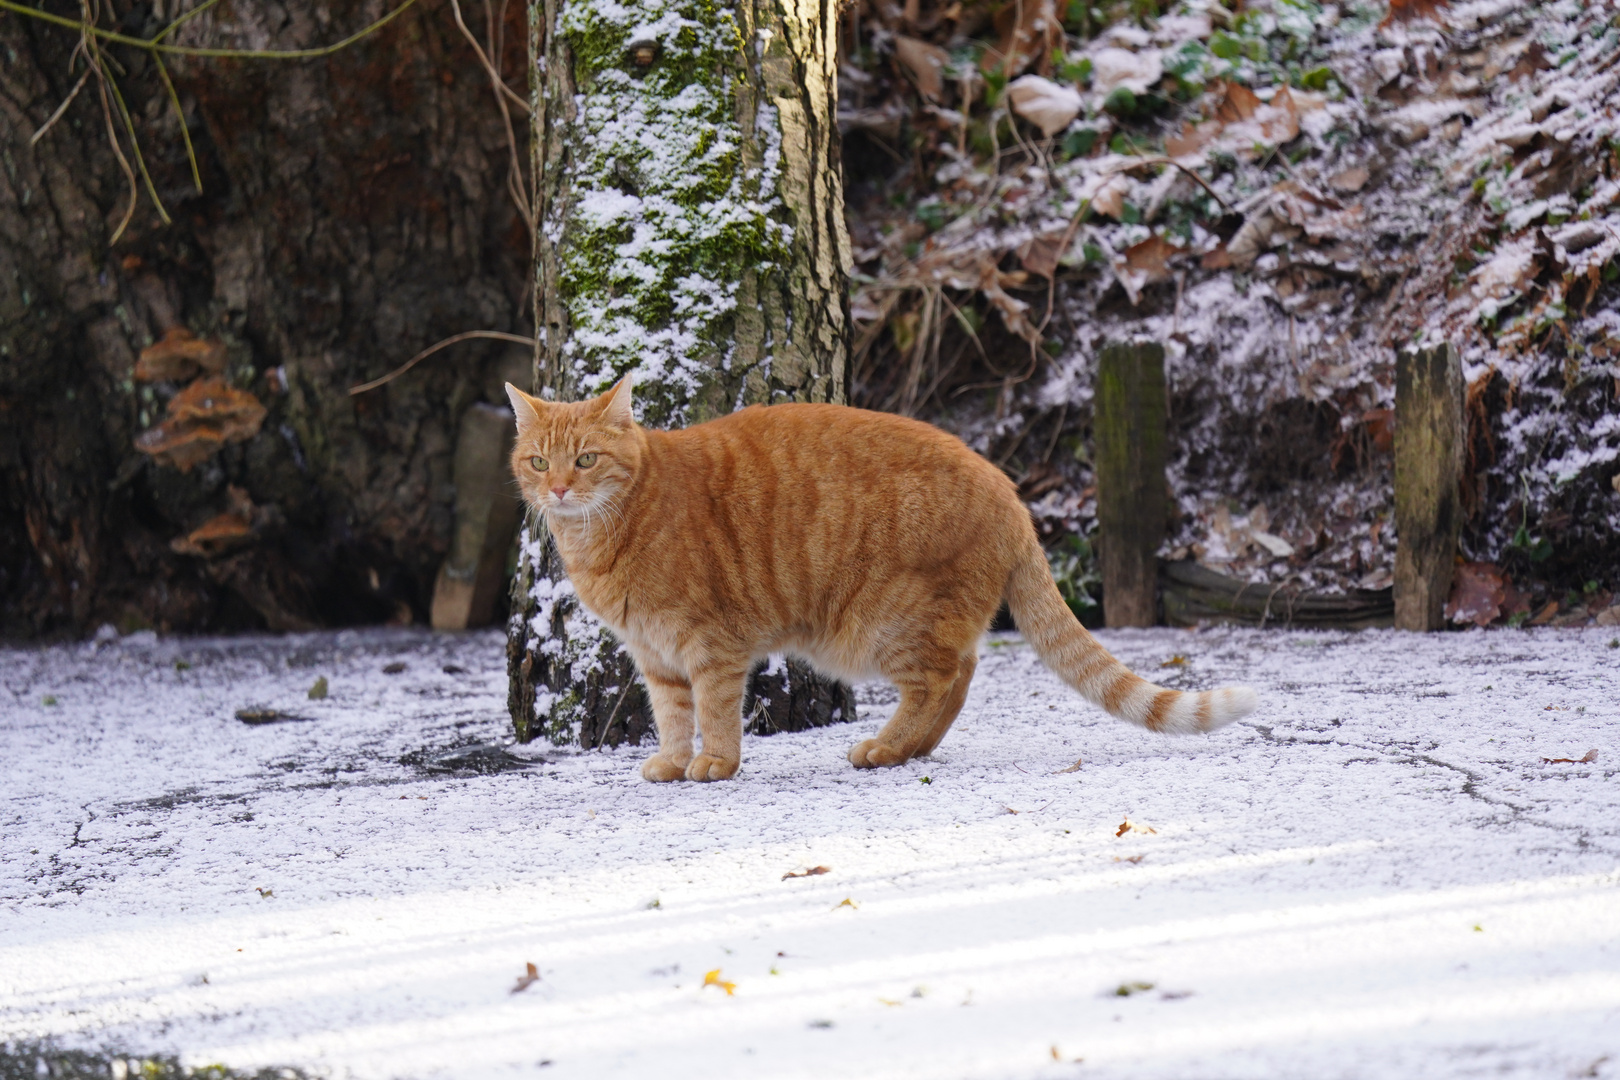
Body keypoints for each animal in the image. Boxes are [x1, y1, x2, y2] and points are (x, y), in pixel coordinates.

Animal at [502, 375, 1250, 780]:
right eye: (539, 461)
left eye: (587, 459)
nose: (560, 489)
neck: (608, 529)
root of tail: (1008, 490)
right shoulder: (655, 655)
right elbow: (671, 714)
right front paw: (670, 759)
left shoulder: (711, 646)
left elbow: (713, 712)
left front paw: (714, 763)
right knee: (963, 675)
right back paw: (909, 749)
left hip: (879, 627)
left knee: (942, 679)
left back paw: (887, 747)